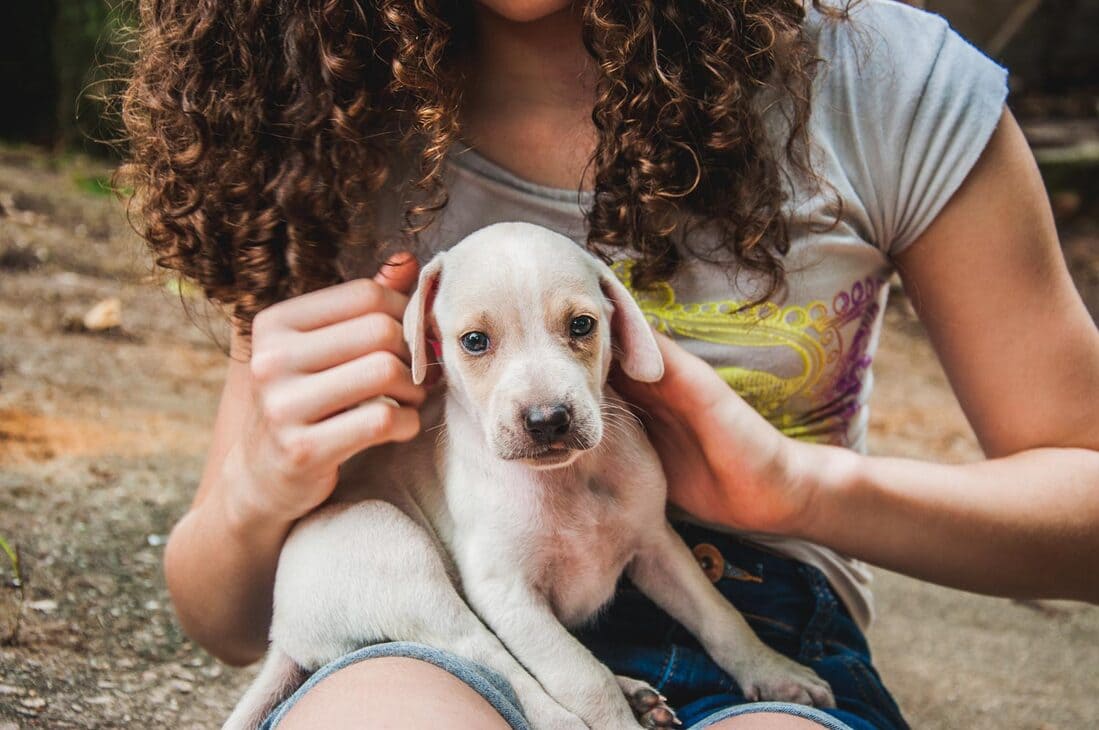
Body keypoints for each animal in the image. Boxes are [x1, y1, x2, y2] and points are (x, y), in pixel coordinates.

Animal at [227, 224, 835, 729]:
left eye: (582, 325)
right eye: (474, 341)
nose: (548, 420)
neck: (568, 481)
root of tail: (283, 635)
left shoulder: (658, 545)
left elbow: (719, 615)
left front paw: (777, 672)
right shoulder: (509, 596)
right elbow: (579, 676)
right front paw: (613, 721)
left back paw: (639, 693)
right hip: (399, 556)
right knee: (502, 669)